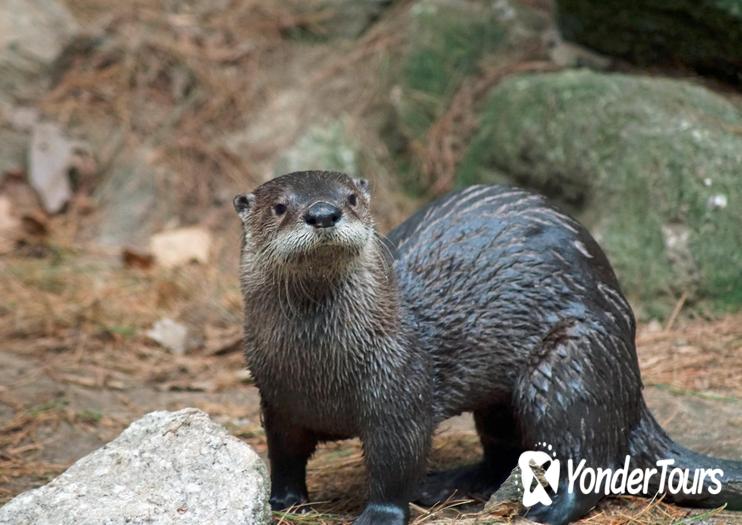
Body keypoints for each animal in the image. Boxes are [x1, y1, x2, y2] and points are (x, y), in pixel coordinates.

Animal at [234, 170, 742, 520]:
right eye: (279, 206)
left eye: (352, 198)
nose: (323, 212)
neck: (316, 371)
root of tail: (633, 388)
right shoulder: (276, 398)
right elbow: (283, 453)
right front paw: (282, 500)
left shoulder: (398, 391)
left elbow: (395, 462)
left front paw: (378, 516)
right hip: (505, 398)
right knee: (504, 450)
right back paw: (452, 484)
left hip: (571, 365)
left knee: (587, 455)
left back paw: (546, 511)